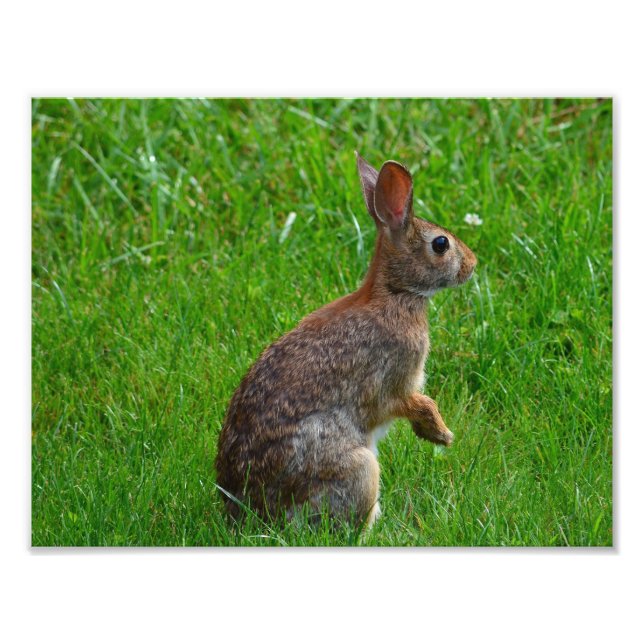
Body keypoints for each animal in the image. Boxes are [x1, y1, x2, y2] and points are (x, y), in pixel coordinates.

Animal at [215, 153, 477, 528]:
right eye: (441, 244)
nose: (472, 264)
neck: (395, 293)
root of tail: (250, 513)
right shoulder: (394, 380)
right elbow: (415, 403)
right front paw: (442, 435)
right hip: (359, 468)